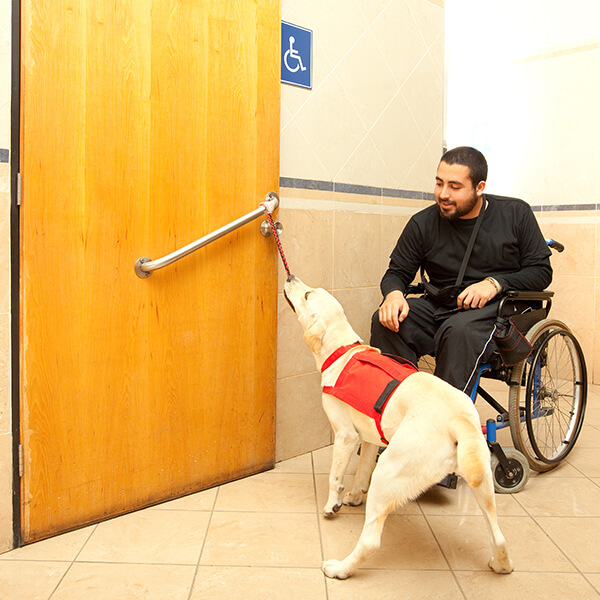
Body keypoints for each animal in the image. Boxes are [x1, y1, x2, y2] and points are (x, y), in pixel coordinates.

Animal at [284, 276, 512, 576]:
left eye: (308, 295)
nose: (290, 277)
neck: (341, 352)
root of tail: (459, 419)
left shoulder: (345, 436)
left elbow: (335, 477)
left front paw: (333, 504)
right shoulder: (369, 439)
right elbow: (361, 472)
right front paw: (355, 495)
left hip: (388, 471)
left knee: (370, 542)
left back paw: (340, 568)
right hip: (482, 480)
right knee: (498, 535)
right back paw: (501, 564)